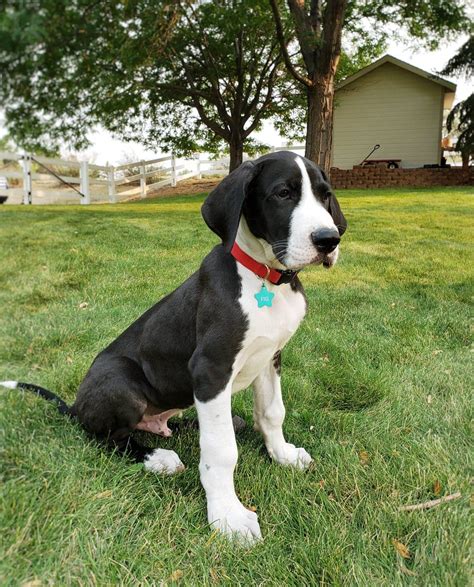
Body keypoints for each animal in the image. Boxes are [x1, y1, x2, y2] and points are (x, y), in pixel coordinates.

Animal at [1, 150, 346, 544]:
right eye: (283, 194)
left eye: (325, 195)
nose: (328, 240)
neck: (265, 278)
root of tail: (75, 406)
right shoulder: (211, 368)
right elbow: (221, 450)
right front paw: (228, 516)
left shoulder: (270, 355)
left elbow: (272, 412)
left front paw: (282, 455)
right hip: (121, 382)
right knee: (105, 437)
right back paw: (156, 458)